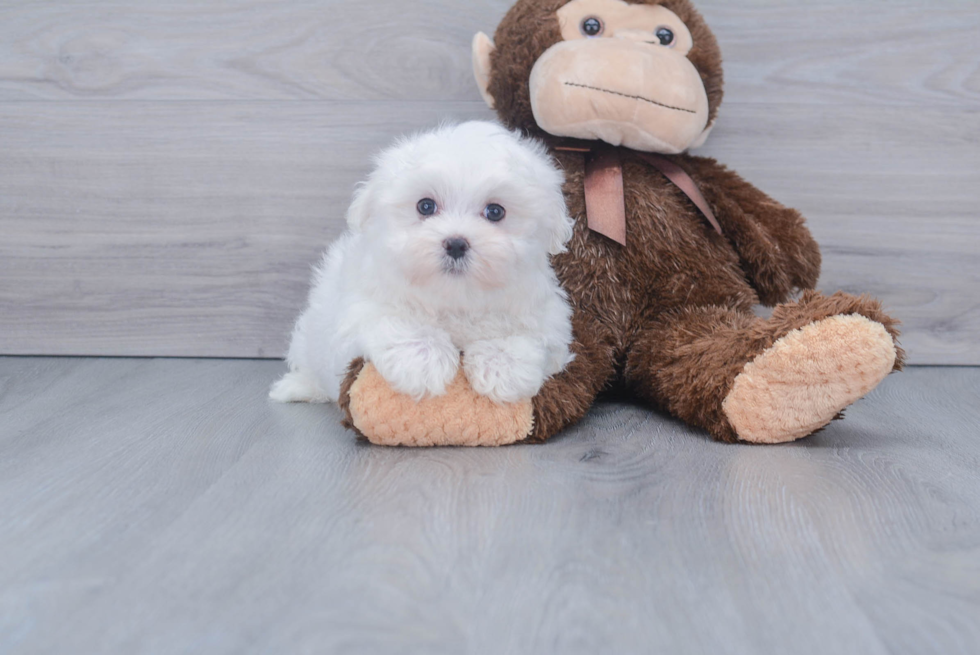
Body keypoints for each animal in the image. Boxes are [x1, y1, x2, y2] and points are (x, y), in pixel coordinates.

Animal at [268, 119, 576, 404]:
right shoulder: (360, 306)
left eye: (495, 211)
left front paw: (501, 366)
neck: (455, 300)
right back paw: (297, 387)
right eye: (425, 206)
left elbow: (526, 336)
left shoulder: (546, 320)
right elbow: (391, 319)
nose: (456, 243)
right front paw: (424, 361)